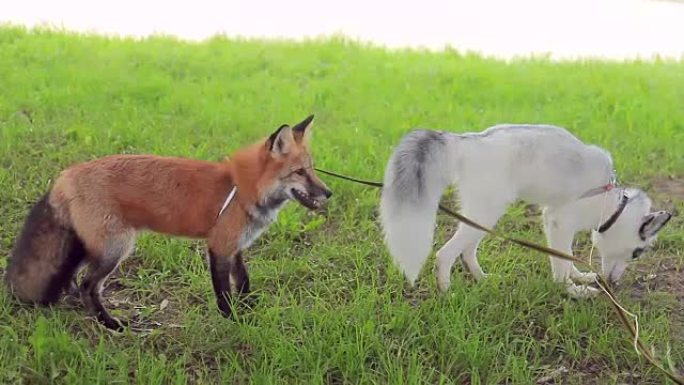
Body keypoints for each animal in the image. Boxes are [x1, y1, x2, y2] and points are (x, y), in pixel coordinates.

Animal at [5, 113, 332, 328]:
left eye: (312, 169)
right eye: (299, 172)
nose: (329, 192)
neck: (242, 188)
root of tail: (65, 175)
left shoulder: (236, 246)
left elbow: (244, 280)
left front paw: (248, 306)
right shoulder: (219, 246)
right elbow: (223, 292)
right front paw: (233, 319)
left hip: (94, 246)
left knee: (74, 276)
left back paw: (77, 304)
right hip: (116, 248)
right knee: (88, 285)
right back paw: (108, 323)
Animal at [380, 124, 672, 296]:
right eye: (636, 253)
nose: (614, 283)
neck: (612, 203)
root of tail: (469, 141)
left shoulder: (552, 220)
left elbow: (565, 257)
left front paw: (579, 278)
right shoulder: (559, 222)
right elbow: (561, 264)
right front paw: (572, 290)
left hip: (481, 216)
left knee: (467, 251)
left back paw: (482, 279)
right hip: (487, 212)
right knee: (445, 254)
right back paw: (446, 291)